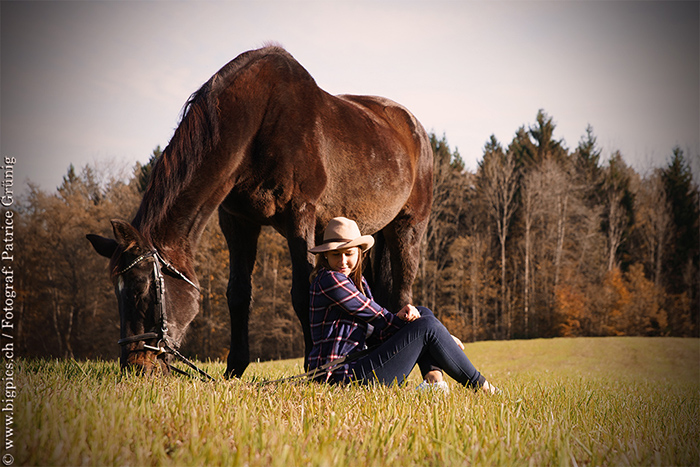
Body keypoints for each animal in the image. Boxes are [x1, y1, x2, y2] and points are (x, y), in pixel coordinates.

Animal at [86, 45, 432, 378]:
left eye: (142, 291)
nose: (136, 367)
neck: (258, 122)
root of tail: (413, 127)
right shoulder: (238, 222)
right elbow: (238, 293)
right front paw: (234, 368)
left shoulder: (300, 213)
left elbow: (302, 291)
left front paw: (312, 369)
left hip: (408, 228)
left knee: (402, 294)